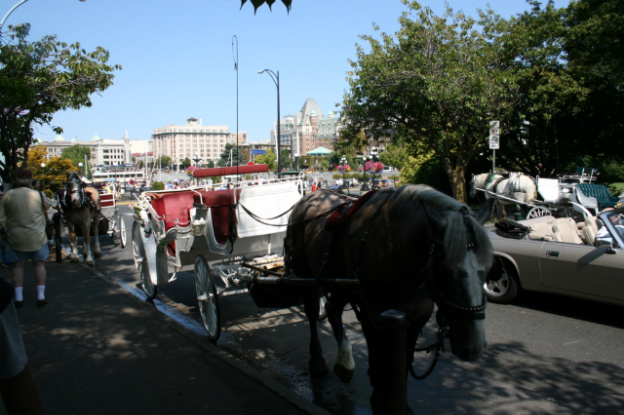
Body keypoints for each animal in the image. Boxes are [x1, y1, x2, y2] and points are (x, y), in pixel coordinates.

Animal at [286, 186, 494, 415]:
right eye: (443, 270)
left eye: (489, 267)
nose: (474, 347)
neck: (391, 244)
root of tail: (308, 197)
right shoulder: (371, 314)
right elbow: (377, 359)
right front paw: (378, 400)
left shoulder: (417, 317)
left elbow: (404, 359)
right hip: (307, 277)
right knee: (312, 314)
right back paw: (317, 361)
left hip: (339, 283)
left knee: (333, 309)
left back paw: (344, 362)